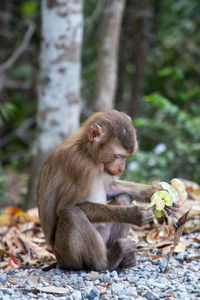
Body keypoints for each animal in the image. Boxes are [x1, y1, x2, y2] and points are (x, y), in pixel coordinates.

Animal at [37, 110, 177, 272]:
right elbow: (64, 207)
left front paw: (155, 192)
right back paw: (107, 262)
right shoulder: (79, 165)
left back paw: (124, 259)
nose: (121, 168)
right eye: (118, 156)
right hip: (66, 256)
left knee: (123, 197)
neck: (87, 151)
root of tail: (57, 258)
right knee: (71, 214)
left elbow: (110, 188)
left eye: (126, 156)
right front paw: (133, 214)